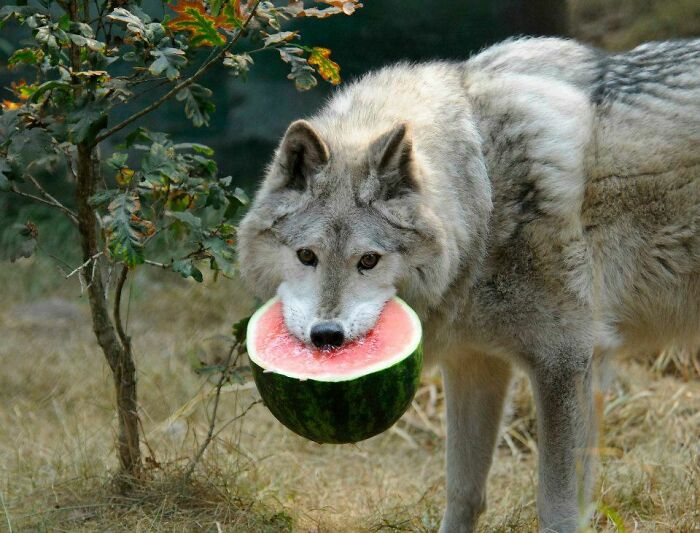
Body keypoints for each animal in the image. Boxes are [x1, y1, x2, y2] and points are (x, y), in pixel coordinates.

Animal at [238, 37, 700, 532]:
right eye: (307, 256)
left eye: (368, 260)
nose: (327, 337)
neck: (485, 194)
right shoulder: (474, 363)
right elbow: (463, 491)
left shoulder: (565, 362)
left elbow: (557, 507)